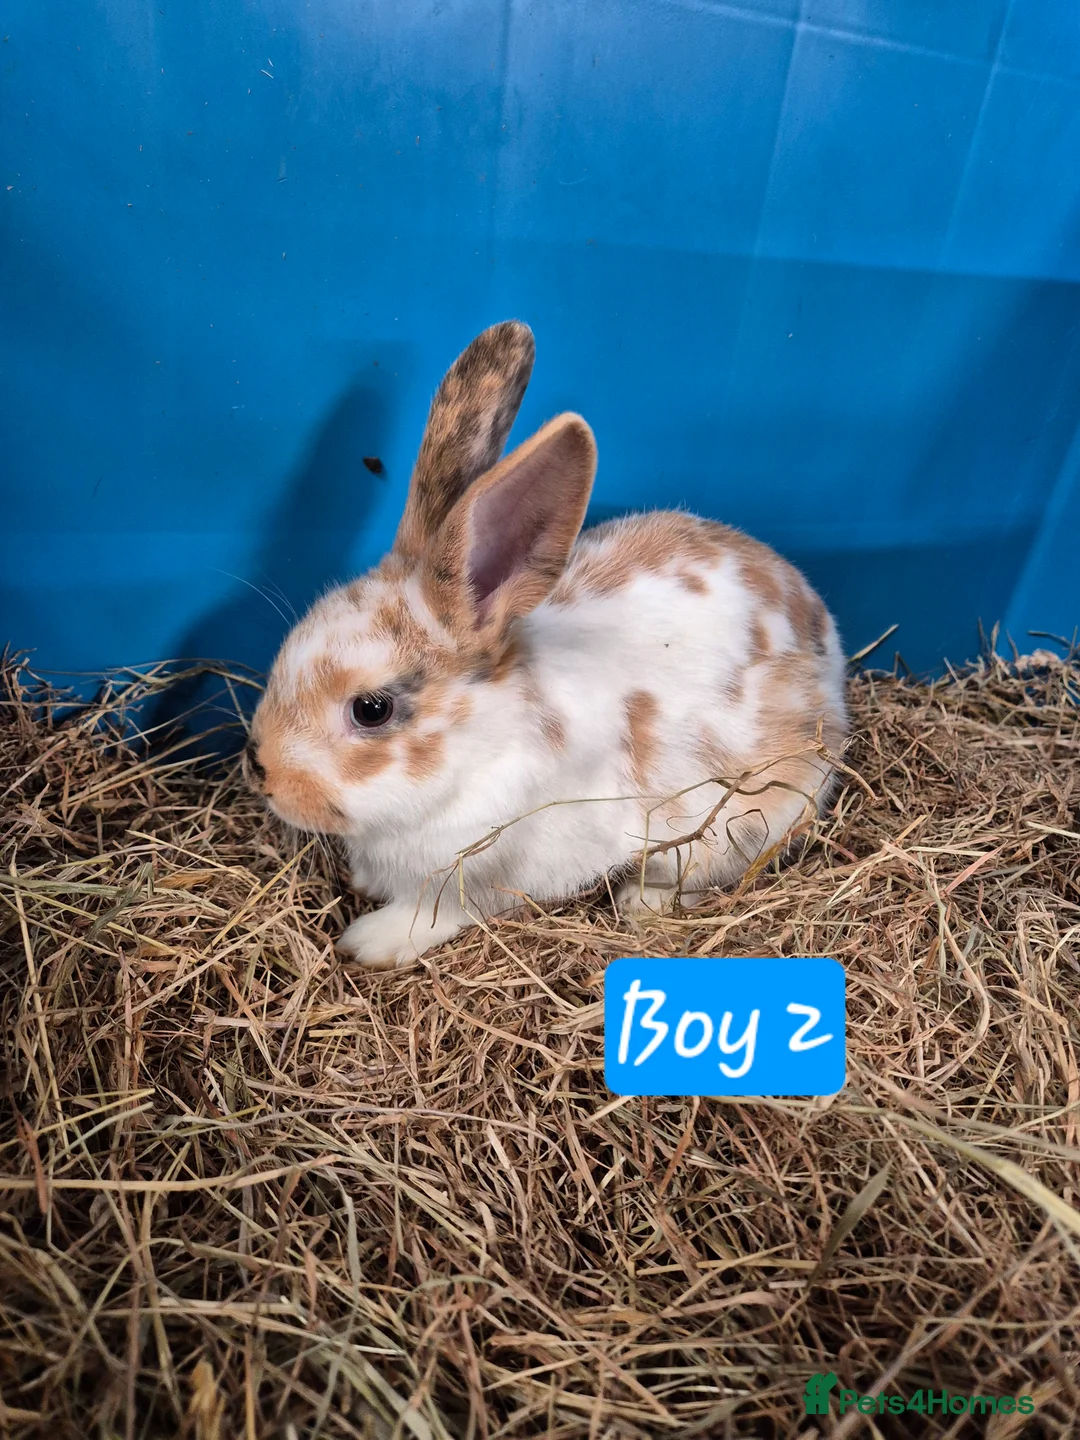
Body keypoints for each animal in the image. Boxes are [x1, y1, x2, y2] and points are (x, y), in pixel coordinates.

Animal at [245, 321, 849, 969]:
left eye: (371, 709)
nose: (260, 768)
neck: (482, 742)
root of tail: (826, 634)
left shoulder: (483, 877)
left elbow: (436, 914)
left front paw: (366, 942)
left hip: (753, 818)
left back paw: (642, 903)